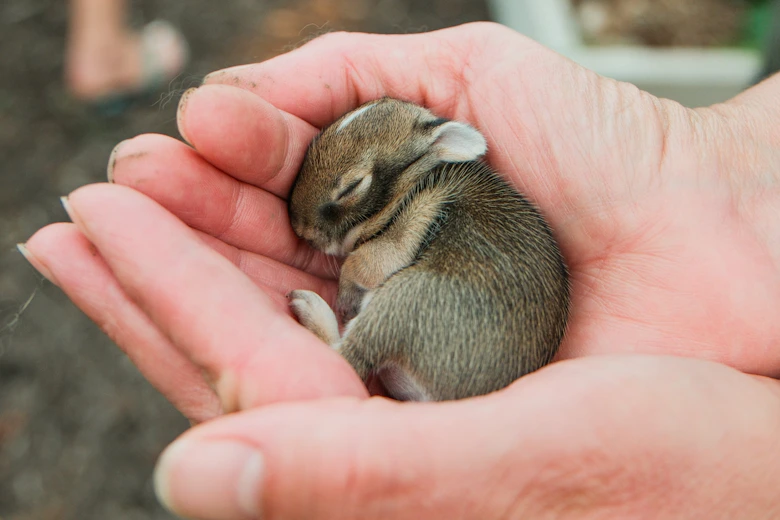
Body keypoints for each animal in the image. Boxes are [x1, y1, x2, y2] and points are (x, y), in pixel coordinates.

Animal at [287, 97, 569, 401]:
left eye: (352, 186)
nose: (301, 229)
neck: (411, 183)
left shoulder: (406, 230)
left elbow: (359, 264)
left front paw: (344, 299)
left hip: (403, 297)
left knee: (348, 358)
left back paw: (309, 306)